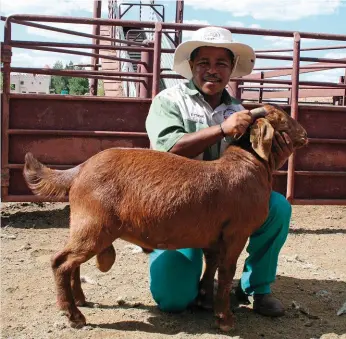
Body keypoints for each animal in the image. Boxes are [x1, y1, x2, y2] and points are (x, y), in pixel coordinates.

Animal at [22, 105, 308, 334]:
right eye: (282, 118)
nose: (305, 133)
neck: (246, 166)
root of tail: (80, 169)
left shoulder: (214, 236)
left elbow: (211, 265)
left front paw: (204, 300)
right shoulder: (236, 232)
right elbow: (226, 272)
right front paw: (224, 318)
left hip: (85, 226)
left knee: (73, 263)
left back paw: (80, 300)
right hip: (94, 226)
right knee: (61, 262)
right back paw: (74, 316)